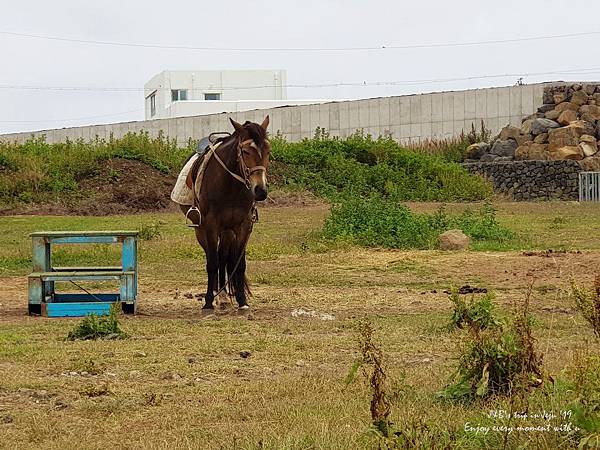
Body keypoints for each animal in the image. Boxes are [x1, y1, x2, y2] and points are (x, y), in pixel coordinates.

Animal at [179, 116, 270, 310]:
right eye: (245, 151)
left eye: (268, 150)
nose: (260, 191)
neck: (230, 186)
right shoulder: (211, 225)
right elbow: (212, 263)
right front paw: (208, 301)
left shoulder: (244, 226)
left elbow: (239, 264)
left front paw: (242, 301)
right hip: (201, 230)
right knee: (212, 257)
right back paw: (216, 294)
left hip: (227, 231)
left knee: (223, 257)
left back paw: (224, 296)